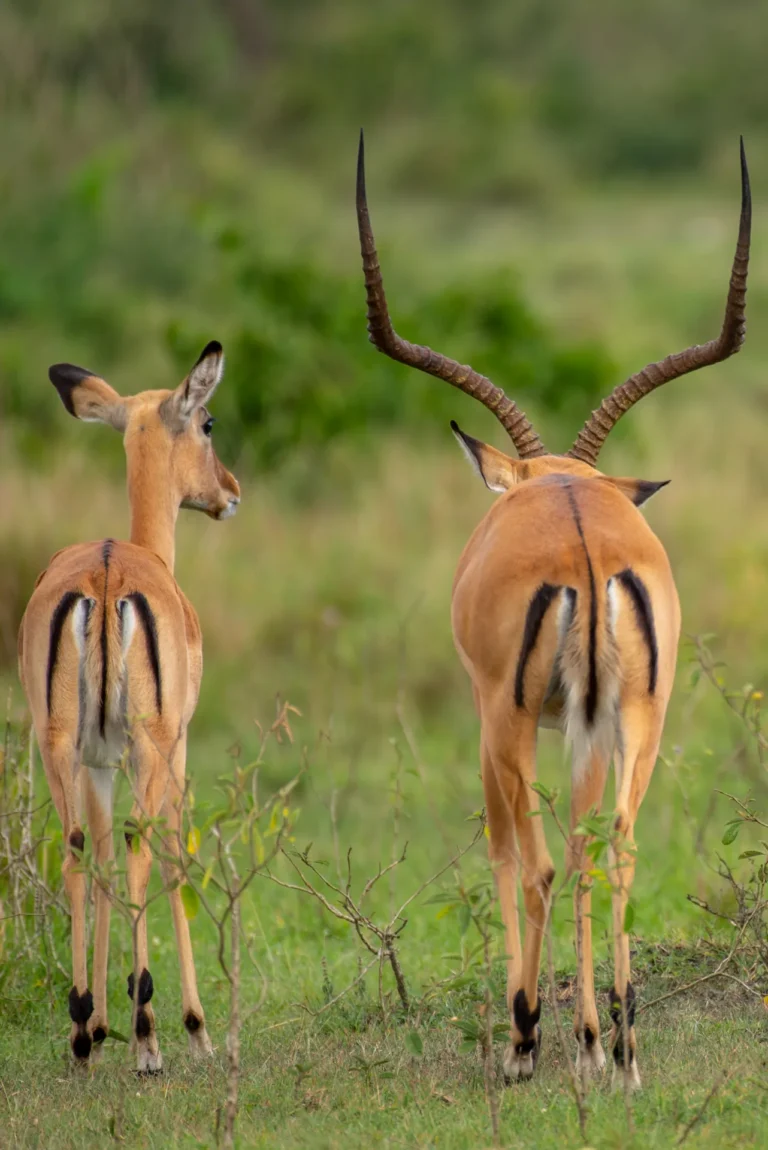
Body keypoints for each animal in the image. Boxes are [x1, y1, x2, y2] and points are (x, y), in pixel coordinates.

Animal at [18, 343, 240, 1071]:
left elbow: (104, 858)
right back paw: (148, 1035)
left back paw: (80, 1028)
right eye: (207, 422)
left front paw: (100, 1021)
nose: (229, 492)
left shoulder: (98, 758)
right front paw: (192, 1028)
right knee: (144, 841)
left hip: (57, 742)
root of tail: (108, 571)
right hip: (150, 742)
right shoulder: (175, 744)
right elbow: (171, 852)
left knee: (77, 848)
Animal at [356, 135, 750, 1088]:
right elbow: (590, 847)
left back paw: (535, 1042)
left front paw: (532, 1035)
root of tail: (583, 546)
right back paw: (623, 1048)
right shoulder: (589, 724)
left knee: (535, 862)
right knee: (616, 848)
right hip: (637, 718)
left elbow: (508, 855)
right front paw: (597, 1038)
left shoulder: (491, 715)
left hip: (513, 719)